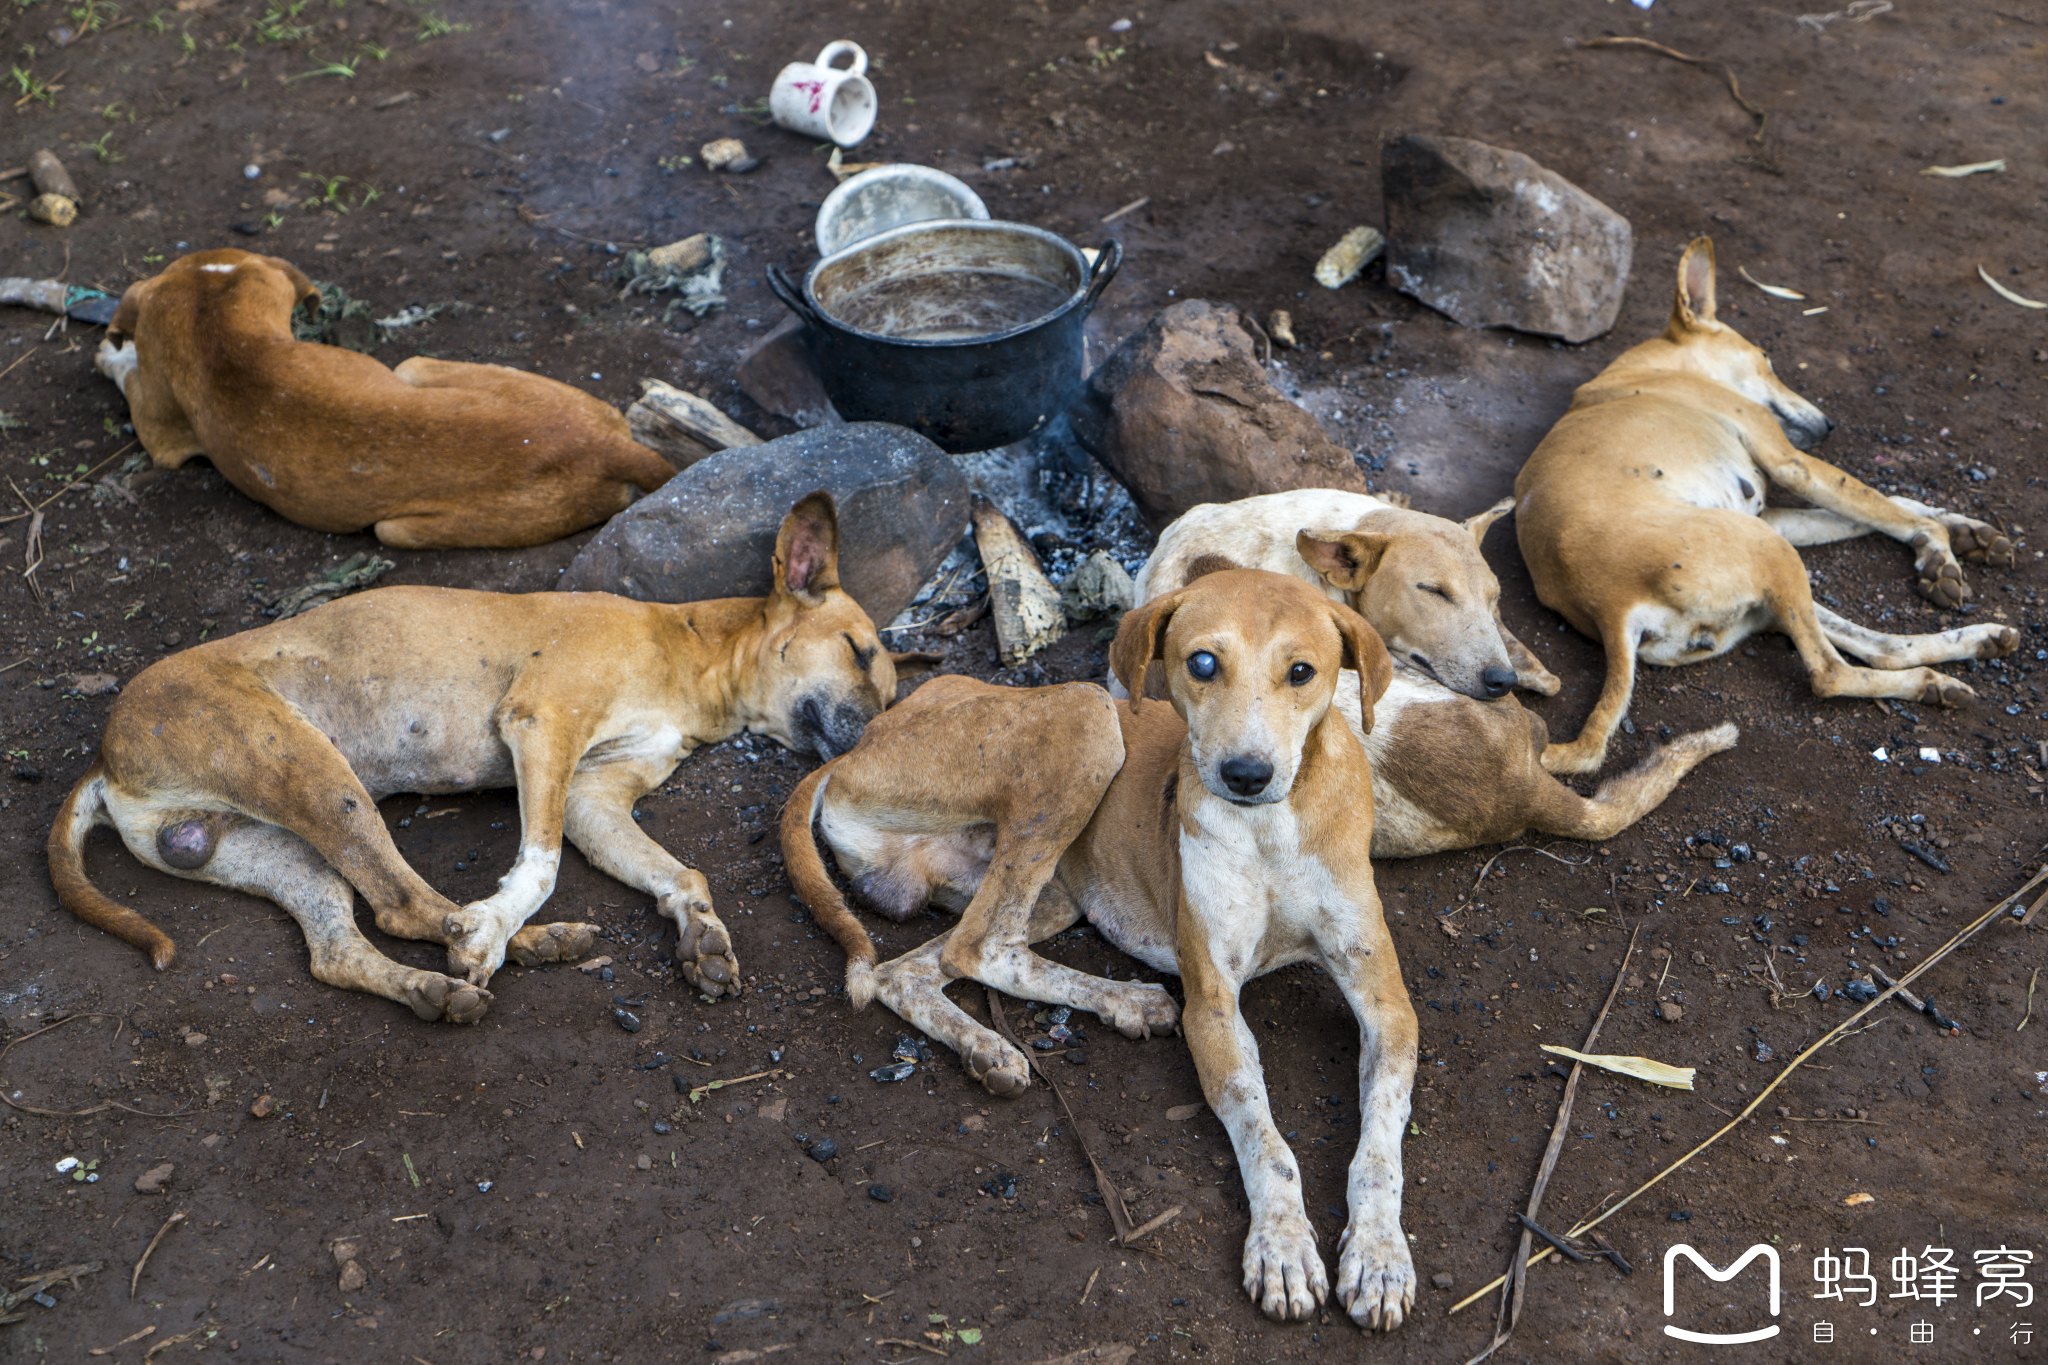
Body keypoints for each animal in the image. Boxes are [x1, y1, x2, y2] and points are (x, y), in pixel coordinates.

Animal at [54, 497, 913, 1019]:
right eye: (859, 650)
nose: (873, 742)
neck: (694, 658)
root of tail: (103, 761)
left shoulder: (595, 795)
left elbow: (682, 872)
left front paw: (701, 937)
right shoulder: (542, 724)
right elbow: (541, 862)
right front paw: (498, 920)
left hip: (279, 847)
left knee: (343, 944)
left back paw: (475, 969)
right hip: (309, 768)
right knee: (400, 904)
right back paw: (491, 938)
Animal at [99, 248, 675, 548]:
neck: (218, 326)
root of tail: (602, 446)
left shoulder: (162, 437)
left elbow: (130, 377)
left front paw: (110, 355)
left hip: (395, 519)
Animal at [786, 568, 1425, 1334]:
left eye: (1302, 672)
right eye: (1202, 662)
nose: (1245, 773)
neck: (1271, 828)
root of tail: (858, 745)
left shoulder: (1386, 1002)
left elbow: (1380, 1144)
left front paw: (1381, 1257)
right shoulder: (1212, 1008)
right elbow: (1265, 1142)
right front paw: (1282, 1248)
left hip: (1050, 888)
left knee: (909, 969)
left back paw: (993, 1049)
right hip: (1086, 717)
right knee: (977, 947)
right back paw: (1117, 1004)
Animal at [1515, 239, 2023, 773]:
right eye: (1767, 358)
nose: (1828, 425)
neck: (1650, 369)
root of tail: (1610, 609)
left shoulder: (1767, 509)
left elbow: (1880, 507)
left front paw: (1968, 533)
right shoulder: (1791, 463)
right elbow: (1890, 511)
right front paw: (1941, 551)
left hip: (1768, 569)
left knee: (1882, 648)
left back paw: (1976, 646)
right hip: (1771, 551)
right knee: (1831, 673)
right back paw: (1932, 680)